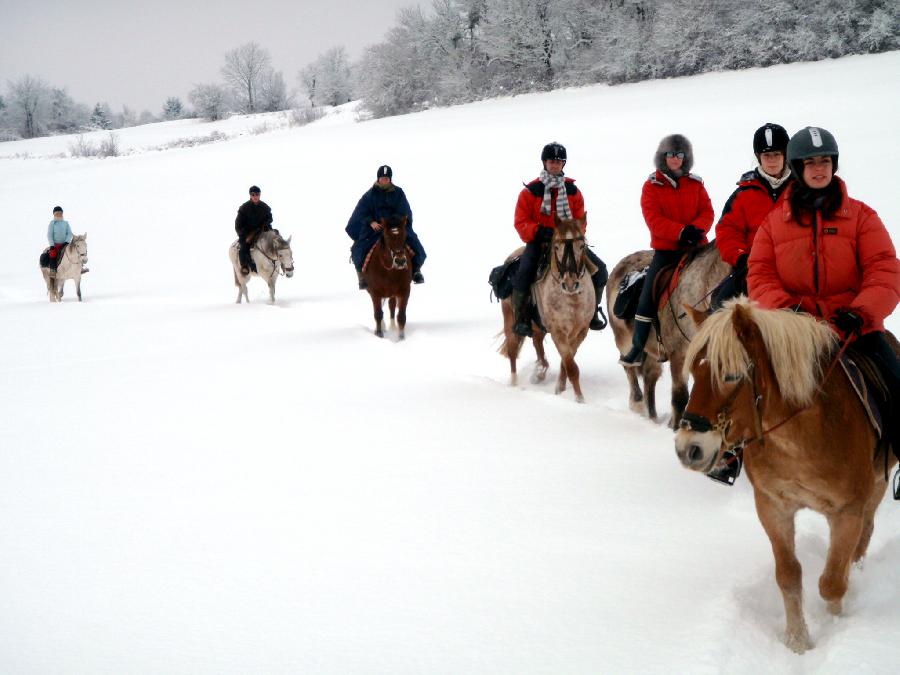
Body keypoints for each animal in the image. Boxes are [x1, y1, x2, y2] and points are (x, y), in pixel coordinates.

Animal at [500, 215, 596, 402]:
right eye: (556, 246)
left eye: (581, 245)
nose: (570, 284)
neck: (572, 300)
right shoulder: (558, 332)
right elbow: (571, 367)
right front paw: (579, 399)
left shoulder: (580, 332)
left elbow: (566, 362)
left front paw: (560, 389)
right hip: (510, 320)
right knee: (512, 351)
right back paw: (515, 384)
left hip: (538, 326)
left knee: (537, 344)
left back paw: (540, 372)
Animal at [604, 244, 732, 428]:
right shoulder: (679, 355)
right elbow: (680, 398)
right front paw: (675, 427)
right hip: (624, 341)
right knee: (630, 371)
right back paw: (638, 405)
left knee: (650, 379)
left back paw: (653, 418)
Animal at [676, 298, 892, 656]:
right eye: (694, 371)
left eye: (731, 375)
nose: (687, 448)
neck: (802, 433)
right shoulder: (773, 508)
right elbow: (789, 577)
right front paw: (797, 640)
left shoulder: (847, 512)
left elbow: (832, 582)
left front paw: (834, 622)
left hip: (877, 485)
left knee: (866, 532)